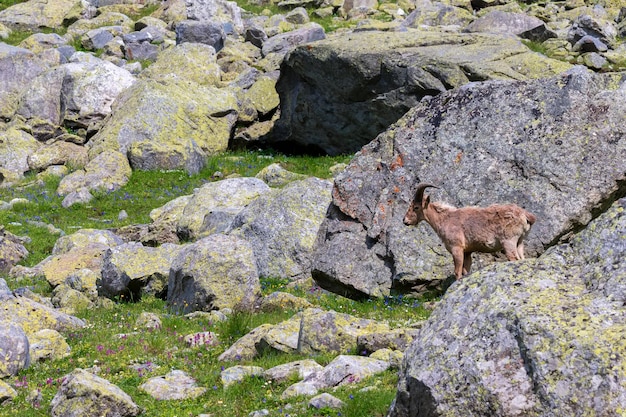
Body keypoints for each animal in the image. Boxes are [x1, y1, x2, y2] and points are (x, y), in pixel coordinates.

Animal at [404, 183, 532, 278]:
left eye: (416, 207)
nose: (405, 221)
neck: (445, 220)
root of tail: (525, 215)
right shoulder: (467, 252)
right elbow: (466, 270)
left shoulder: (457, 248)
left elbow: (458, 272)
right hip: (520, 242)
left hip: (509, 241)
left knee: (514, 258)